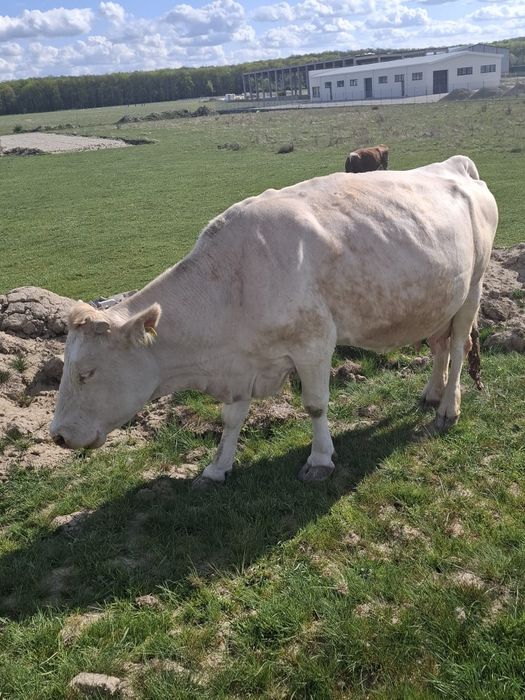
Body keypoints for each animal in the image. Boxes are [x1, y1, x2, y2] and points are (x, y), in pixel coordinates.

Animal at [50, 156, 498, 487]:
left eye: (87, 373)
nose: (57, 435)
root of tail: (455, 164)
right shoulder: (240, 361)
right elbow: (231, 418)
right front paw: (217, 468)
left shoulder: (314, 342)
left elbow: (315, 405)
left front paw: (319, 460)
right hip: (438, 298)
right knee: (439, 346)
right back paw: (432, 394)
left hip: (472, 290)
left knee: (459, 348)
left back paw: (448, 409)